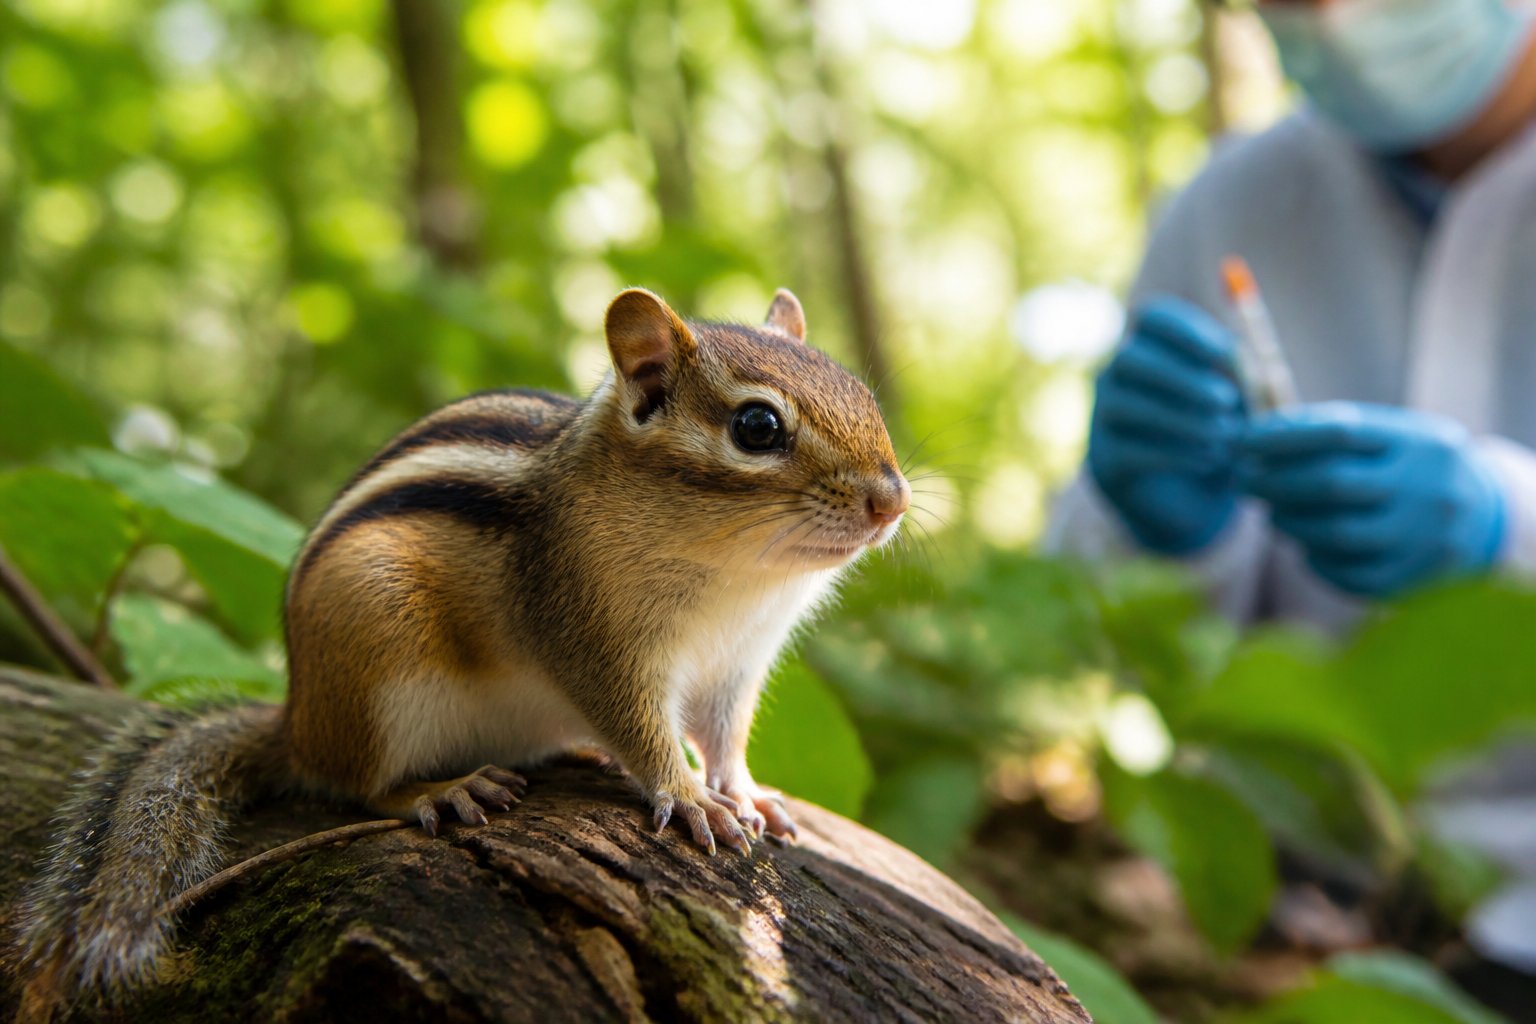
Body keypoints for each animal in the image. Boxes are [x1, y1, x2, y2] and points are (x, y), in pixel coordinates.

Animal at [9, 286, 909, 1016]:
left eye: (863, 395)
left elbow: (725, 735)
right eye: (757, 427)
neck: (741, 580)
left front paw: (746, 793)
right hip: (380, 662)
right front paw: (687, 796)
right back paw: (442, 790)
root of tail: (298, 720)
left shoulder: (738, 665)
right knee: (358, 786)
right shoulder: (590, 638)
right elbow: (642, 727)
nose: (891, 501)